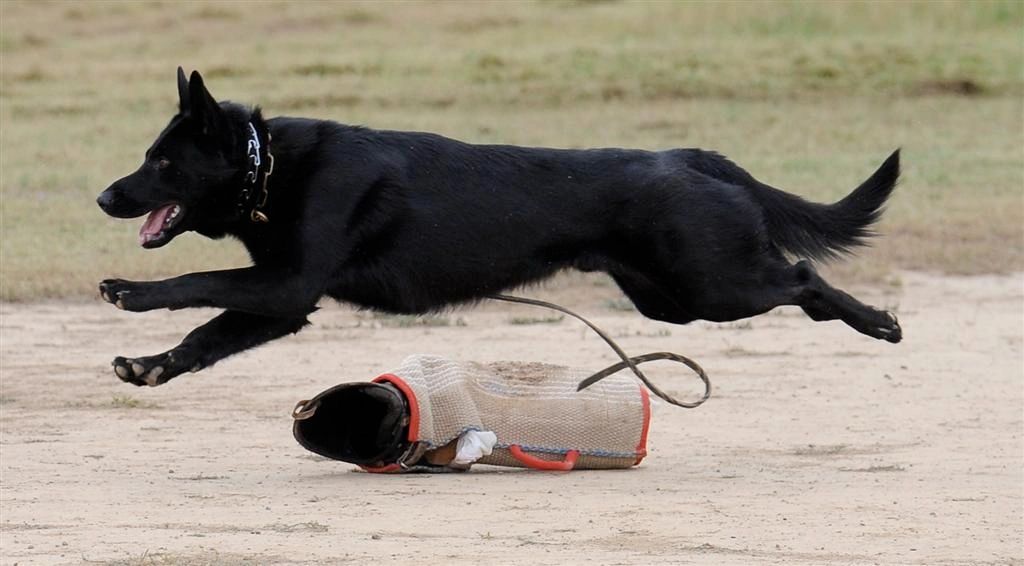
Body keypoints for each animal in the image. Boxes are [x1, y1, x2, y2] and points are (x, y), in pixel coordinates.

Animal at [94, 64, 897, 384]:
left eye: (162, 162)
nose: (104, 197)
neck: (267, 168)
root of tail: (692, 156)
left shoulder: (285, 283)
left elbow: (198, 278)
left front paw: (131, 292)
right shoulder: (283, 302)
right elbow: (206, 335)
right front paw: (151, 366)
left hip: (713, 287)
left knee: (802, 275)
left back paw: (879, 323)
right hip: (670, 303)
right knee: (792, 279)